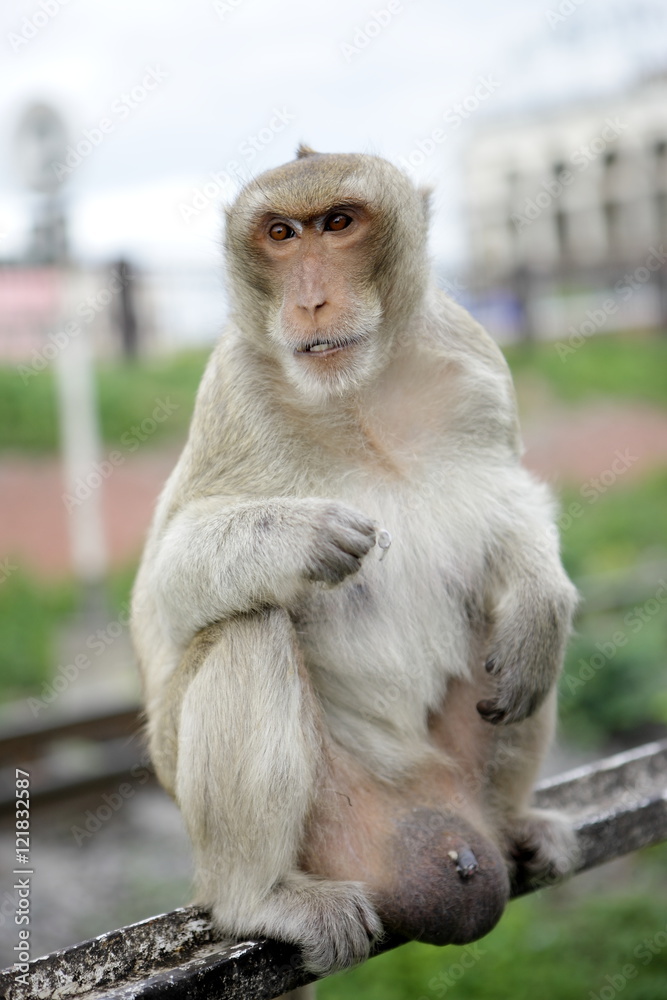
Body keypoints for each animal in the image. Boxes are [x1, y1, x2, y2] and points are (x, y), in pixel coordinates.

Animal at [130, 145, 579, 985]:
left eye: (338, 223)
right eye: (281, 234)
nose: (310, 301)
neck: (359, 395)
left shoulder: (474, 362)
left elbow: (505, 496)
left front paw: (541, 600)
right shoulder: (231, 391)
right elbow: (161, 597)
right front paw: (297, 537)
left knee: (512, 649)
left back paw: (516, 819)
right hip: (319, 821)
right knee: (247, 627)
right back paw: (258, 896)